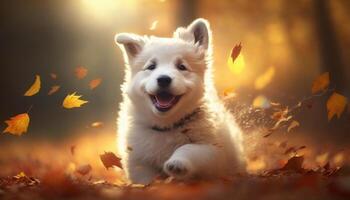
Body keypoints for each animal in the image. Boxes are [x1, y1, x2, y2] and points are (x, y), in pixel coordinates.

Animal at [115, 18, 246, 184]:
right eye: (151, 66)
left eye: (181, 67)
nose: (163, 79)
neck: (166, 126)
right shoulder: (138, 160)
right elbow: (145, 179)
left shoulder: (215, 150)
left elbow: (189, 148)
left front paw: (177, 163)